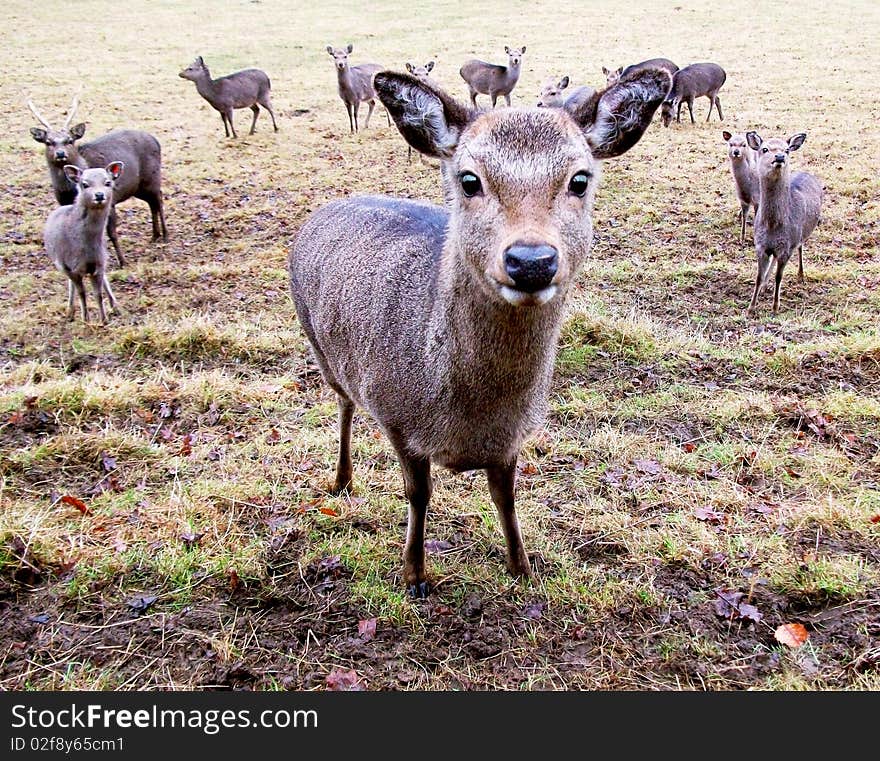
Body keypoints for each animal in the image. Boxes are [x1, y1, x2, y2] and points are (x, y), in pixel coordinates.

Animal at [28, 93, 168, 268]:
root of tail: (156, 140)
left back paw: (165, 235)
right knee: (151, 203)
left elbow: (112, 232)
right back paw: (155, 235)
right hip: (138, 187)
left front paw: (122, 262)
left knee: (159, 198)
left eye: (70, 140)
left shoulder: (111, 200)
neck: (68, 190)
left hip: (152, 177)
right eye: (48, 142)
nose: (60, 153)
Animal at [43, 163, 124, 324]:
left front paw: (104, 320)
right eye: (84, 184)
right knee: (71, 285)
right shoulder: (70, 267)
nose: (99, 195)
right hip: (60, 264)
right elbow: (82, 292)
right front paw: (85, 319)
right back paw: (70, 312)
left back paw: (115, 306)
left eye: (108, 182)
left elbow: (98, 293)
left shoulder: (98, 263)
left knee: (105, 279)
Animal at [286, 65, 672, 596]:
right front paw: (414, 575)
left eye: (580, 179)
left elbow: (506, 497)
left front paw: (522, 565)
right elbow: (419, 493)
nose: (531, 261)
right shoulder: (397, 419)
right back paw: (341, 480)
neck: (466, 416)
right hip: (321, 349)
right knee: (343, 403)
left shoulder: (512, 438)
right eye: (469, 180)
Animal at [744, 132, 824, 316]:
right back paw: (765, 286)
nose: (780, 157)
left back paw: (800, 275)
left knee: (800, 247)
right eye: (764, 149)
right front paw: (751, 307)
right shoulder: (760, 246)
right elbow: (758, 276)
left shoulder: (787, 247)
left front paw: (775, 308)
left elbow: (779, 277)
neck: (773, 225)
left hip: (801, 234)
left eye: (787, 149)